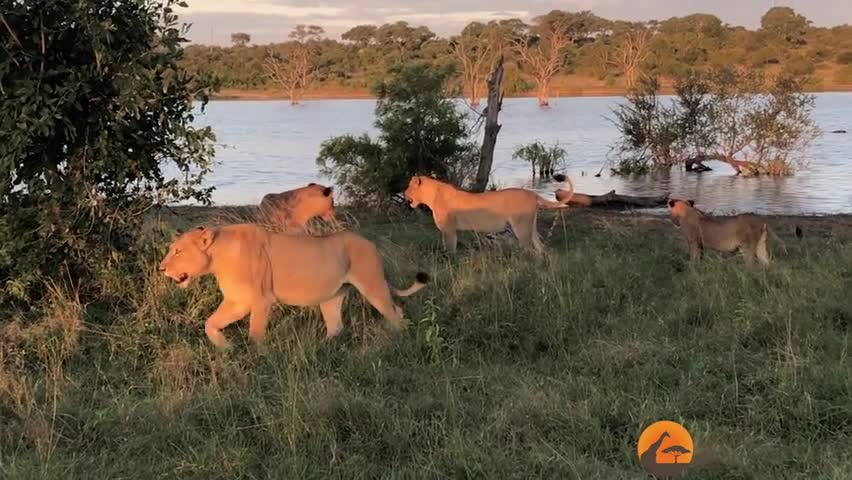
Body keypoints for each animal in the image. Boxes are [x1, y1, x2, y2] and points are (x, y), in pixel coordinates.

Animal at [157, 223, 430, 346]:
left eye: (178, 251)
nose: (162, 268)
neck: (218, 257)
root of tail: (371, 243)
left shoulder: (261, 300)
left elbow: (255, 333)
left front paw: (258, 360)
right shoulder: (238, 301)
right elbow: (210, 323)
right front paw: (226, 348)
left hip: (373, 285)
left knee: (395, 312)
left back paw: (396, 341)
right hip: (332, 297)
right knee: (336, 326)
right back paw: (322, 348)